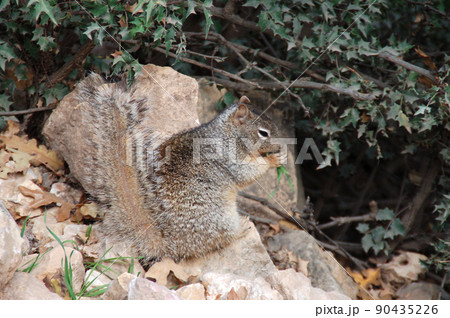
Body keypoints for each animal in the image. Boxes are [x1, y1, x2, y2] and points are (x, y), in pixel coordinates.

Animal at [75, 73, 284, 262]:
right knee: (222, 239)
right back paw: (242, 228)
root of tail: (172, 244)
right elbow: (244, 174)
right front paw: (273, 160)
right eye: (263, 133)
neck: (228, 133)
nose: (280, 145)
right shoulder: (227, 157)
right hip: (220, 219)